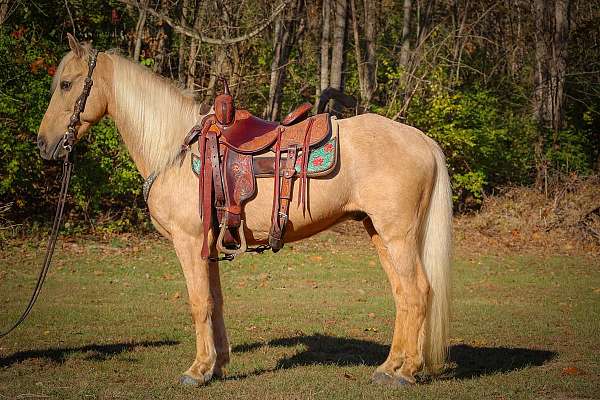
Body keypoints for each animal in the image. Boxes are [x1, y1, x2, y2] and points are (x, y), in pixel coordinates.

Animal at [37, 36, 450, 386]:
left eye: (67, 84)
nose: (44, 144)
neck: (175, 151)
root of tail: (422, 140)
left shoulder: (188, 242)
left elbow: (198, 302)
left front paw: (197, 371)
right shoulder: (209, 246)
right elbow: (215, 302)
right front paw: (217, 366)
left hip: (398, 236)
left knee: (417, 292)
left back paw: (406, 372)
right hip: (378, 232)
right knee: (402, 294)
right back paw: (389, 367)